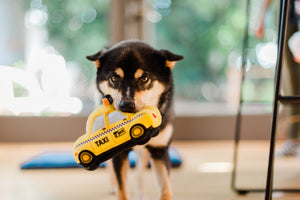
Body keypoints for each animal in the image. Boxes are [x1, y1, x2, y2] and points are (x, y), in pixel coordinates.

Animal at [86, 39, 184, 199]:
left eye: (144, 78)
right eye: (114, 78)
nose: (126, 104)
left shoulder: (160, 151)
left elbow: (166, 188)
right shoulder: (119, 154)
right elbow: (122, 188)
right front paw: (118, 187)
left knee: (139, 173)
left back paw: (140, 193)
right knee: (111, 167)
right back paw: (112, 186)